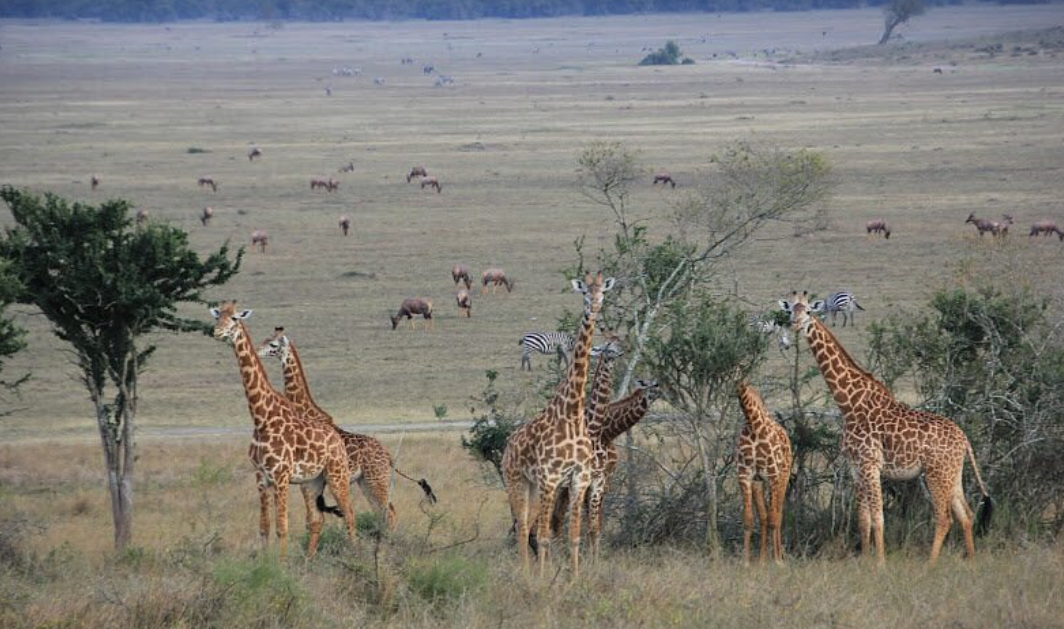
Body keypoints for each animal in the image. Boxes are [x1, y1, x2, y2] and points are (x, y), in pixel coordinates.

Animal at [207, 302, 357, 557]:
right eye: (218, 316)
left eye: (235, 318)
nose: (217, 332)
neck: (261, 418)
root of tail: (336, 438)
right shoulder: (261, 477)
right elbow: (265, 526)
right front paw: (265, 561)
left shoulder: (281, 476)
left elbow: (282, 527)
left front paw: (281, 564)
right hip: (312, 482)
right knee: (317, 519)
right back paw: (309, 560)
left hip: (337, 475)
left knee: (350, 514)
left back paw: (357, 555)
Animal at [257, 325, 436, 532]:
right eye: (265, 339)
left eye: (273, 344)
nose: (258, 351)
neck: (306, 412)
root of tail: (389, 456)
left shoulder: (309, 480)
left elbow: (312, 520)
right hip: (365, 481)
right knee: (382, 511)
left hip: (376, 479)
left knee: (389, 512)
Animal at [500, 270, 617, 574]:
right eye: (585, 292)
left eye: (603, 292)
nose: (594, 307)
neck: (573, 413)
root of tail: (507, 446)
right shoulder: (550, 478)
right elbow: (544, 537)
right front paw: (543, 579)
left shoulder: (579, 479)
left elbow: (574, 536)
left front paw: (575, 578)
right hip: (515, 480)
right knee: (523, 528)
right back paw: (526, 575)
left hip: (532, 486)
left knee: (526, 526)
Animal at [740, 381, 791, 570]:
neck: (753, 423)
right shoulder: (744, 474)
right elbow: (749, 518)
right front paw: (746, 561)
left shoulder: (773, 474)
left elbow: (773, 518)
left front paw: (776, 561)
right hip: (759, 483)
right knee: (764, 515)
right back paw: (762, 559)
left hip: (783, 477)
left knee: (778, 514)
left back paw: (778, 558)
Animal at [778, 291, 991, 566]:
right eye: (790, 310)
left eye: (808, 312)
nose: (795, 324)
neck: (849, 403)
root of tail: (964, 438)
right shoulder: (856, 468)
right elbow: (863, 519)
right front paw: (865, 559)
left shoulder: (871, 465)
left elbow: (878, 518)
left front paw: (879, 563)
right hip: (952, 474)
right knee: (966, 514)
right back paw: (971, 559)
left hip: (935, 473)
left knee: (945, 517)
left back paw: (930, 563)